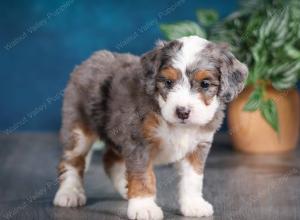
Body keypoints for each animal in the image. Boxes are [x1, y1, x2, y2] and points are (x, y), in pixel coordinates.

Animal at [53, 35, 248, 219]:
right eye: (168, 82)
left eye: (205, 84)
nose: (183, 112)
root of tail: (88, 61)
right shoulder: (139, 141)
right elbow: (143, 175)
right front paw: (143, 207)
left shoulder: (198, 146)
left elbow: (193, 177)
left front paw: (193, 204)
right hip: (78, 130)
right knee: (72, 161)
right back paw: (69, 193)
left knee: (110, 159)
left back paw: (125, 188)